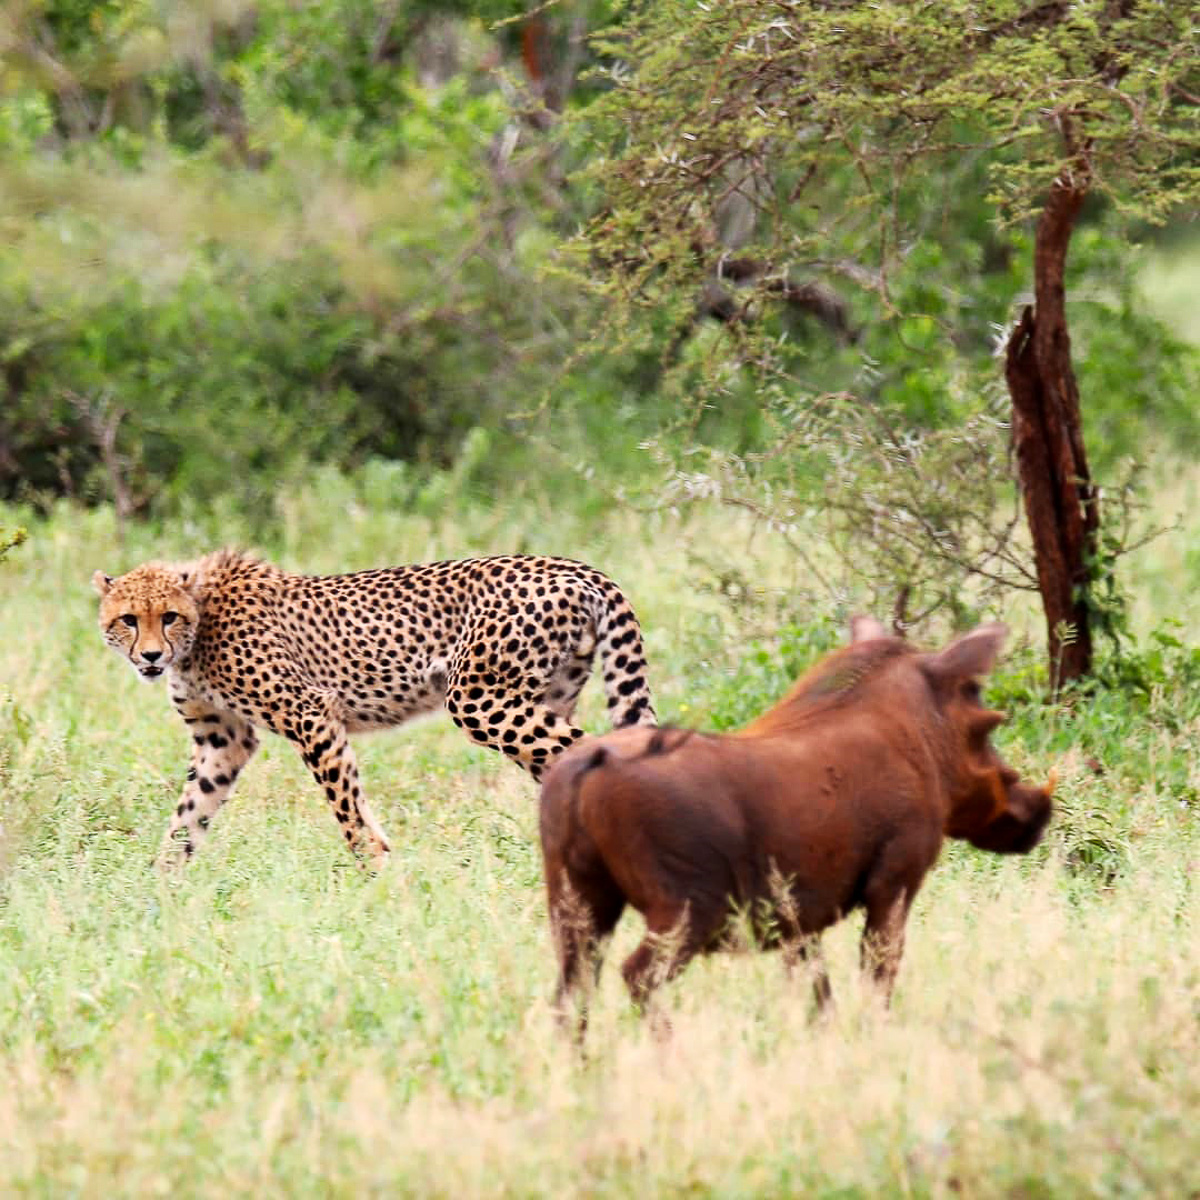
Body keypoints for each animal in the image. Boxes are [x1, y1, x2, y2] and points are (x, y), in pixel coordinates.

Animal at [93, 550, 656, 869]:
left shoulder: (310, 713)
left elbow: (345, 801)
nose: (150, 656)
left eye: (167, 616)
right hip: (545, 696)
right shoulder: (223, 739)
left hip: (480, 700)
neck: (200, 626)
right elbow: (191, 810)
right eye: (128, 619)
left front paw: (373, 867)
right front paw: (160, 884)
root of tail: (576, 567)